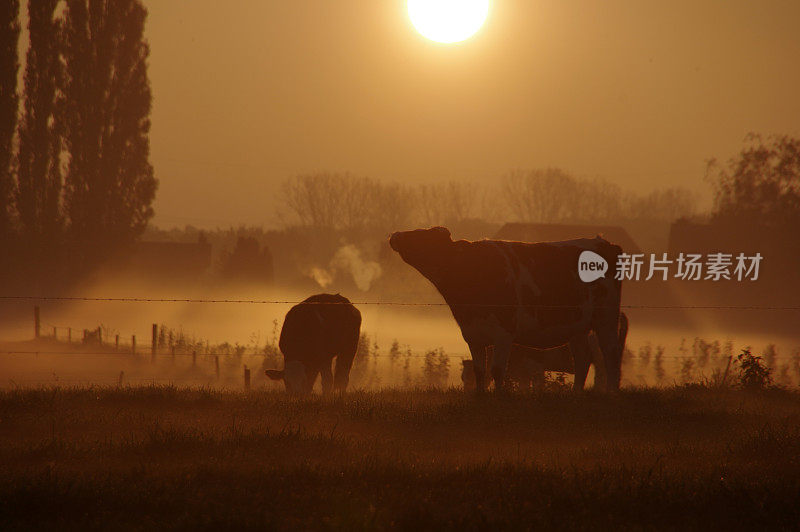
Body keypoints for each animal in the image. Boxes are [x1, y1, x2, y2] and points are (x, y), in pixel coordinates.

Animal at [388, 224, 624, 390]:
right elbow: (480, 371)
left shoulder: (503, 333)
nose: (395, 235)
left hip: (607, 317)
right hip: (577, 326)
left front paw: (500, 399)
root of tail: (604, 242)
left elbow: (497, 370)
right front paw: (480, 399)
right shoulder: (473, 334)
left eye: (422, 235)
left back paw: (611, 393)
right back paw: (575, 394)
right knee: (583, 359)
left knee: (610, 354)